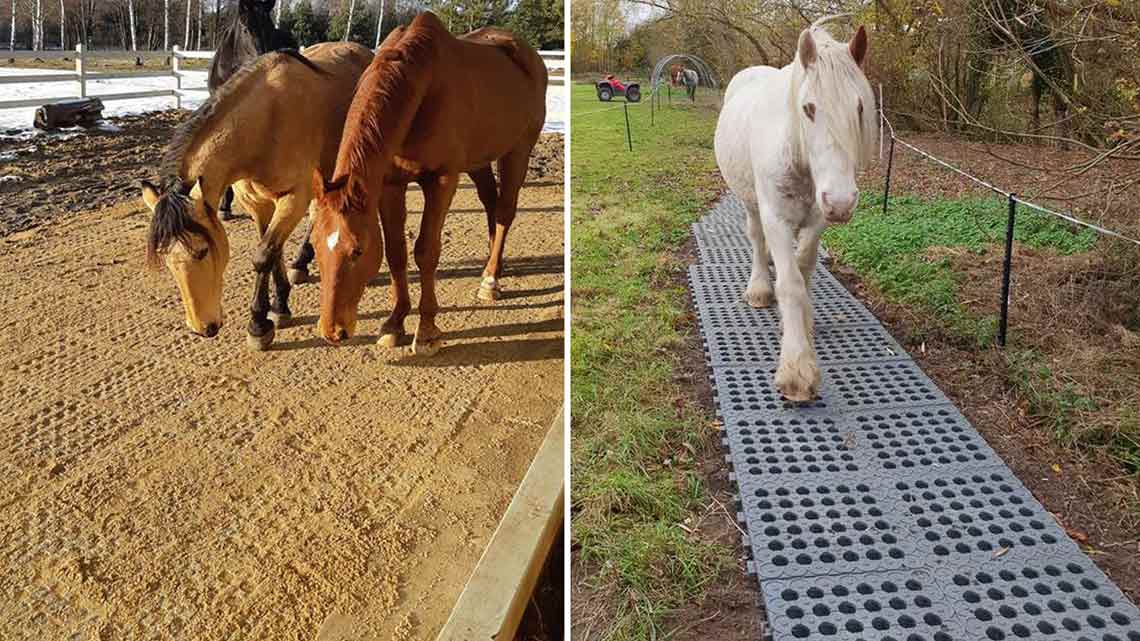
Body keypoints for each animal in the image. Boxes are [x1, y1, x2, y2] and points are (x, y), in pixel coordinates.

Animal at [137, 43, 369, 349]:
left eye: (202, 251)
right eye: (166, 258)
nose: (202, 328)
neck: (266, 123)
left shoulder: (293, 198)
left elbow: (263, 256)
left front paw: (258, 323)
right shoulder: (258, 204)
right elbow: (272, 250)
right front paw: (280, 304)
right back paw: (301, 262)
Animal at [307, 13, 547, 353]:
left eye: (357, 251)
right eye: (314, 245)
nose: (332, 331)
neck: (421, 88)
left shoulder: (442, 180)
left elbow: (426, 251)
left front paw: (426, 331)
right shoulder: (389, 186)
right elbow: (396, 252)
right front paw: (394, 322)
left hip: (518, 151)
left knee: (504, 212)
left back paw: (490, 280)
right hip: (478, 161)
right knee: (491, 203)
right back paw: (494, 265)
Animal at [711, 19, 880, 399]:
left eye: (860, 108)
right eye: (809, 108)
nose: (842, 201)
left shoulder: (817, 220)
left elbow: (803, 269)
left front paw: (804, 322)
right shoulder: (776, 217)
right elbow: (789, 283)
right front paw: (797, 368)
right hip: (751, 203)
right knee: (757, 239)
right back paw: (760, 287)